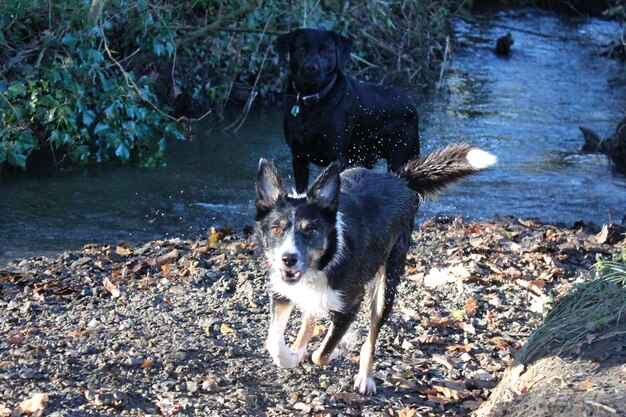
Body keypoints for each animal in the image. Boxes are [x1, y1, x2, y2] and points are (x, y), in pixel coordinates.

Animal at [256, 144, 494, 394]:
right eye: (276, 229)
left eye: (311, 230)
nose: (288, 259)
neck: (323, 264)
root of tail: (398, 180)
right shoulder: (281, 292)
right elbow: (274, 343)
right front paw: (292, 356)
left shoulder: (351, 304)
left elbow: (322, 354)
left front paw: (336, 349)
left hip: (386, 287)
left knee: (370, 338)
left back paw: (364, 377)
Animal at [274, 27, 416, 193]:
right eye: (301, 48)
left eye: (326, 50)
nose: (311, 68)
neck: (313, 100)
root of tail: (411, 104)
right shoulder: (298, 156)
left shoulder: (338, 157)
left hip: (398, 155)